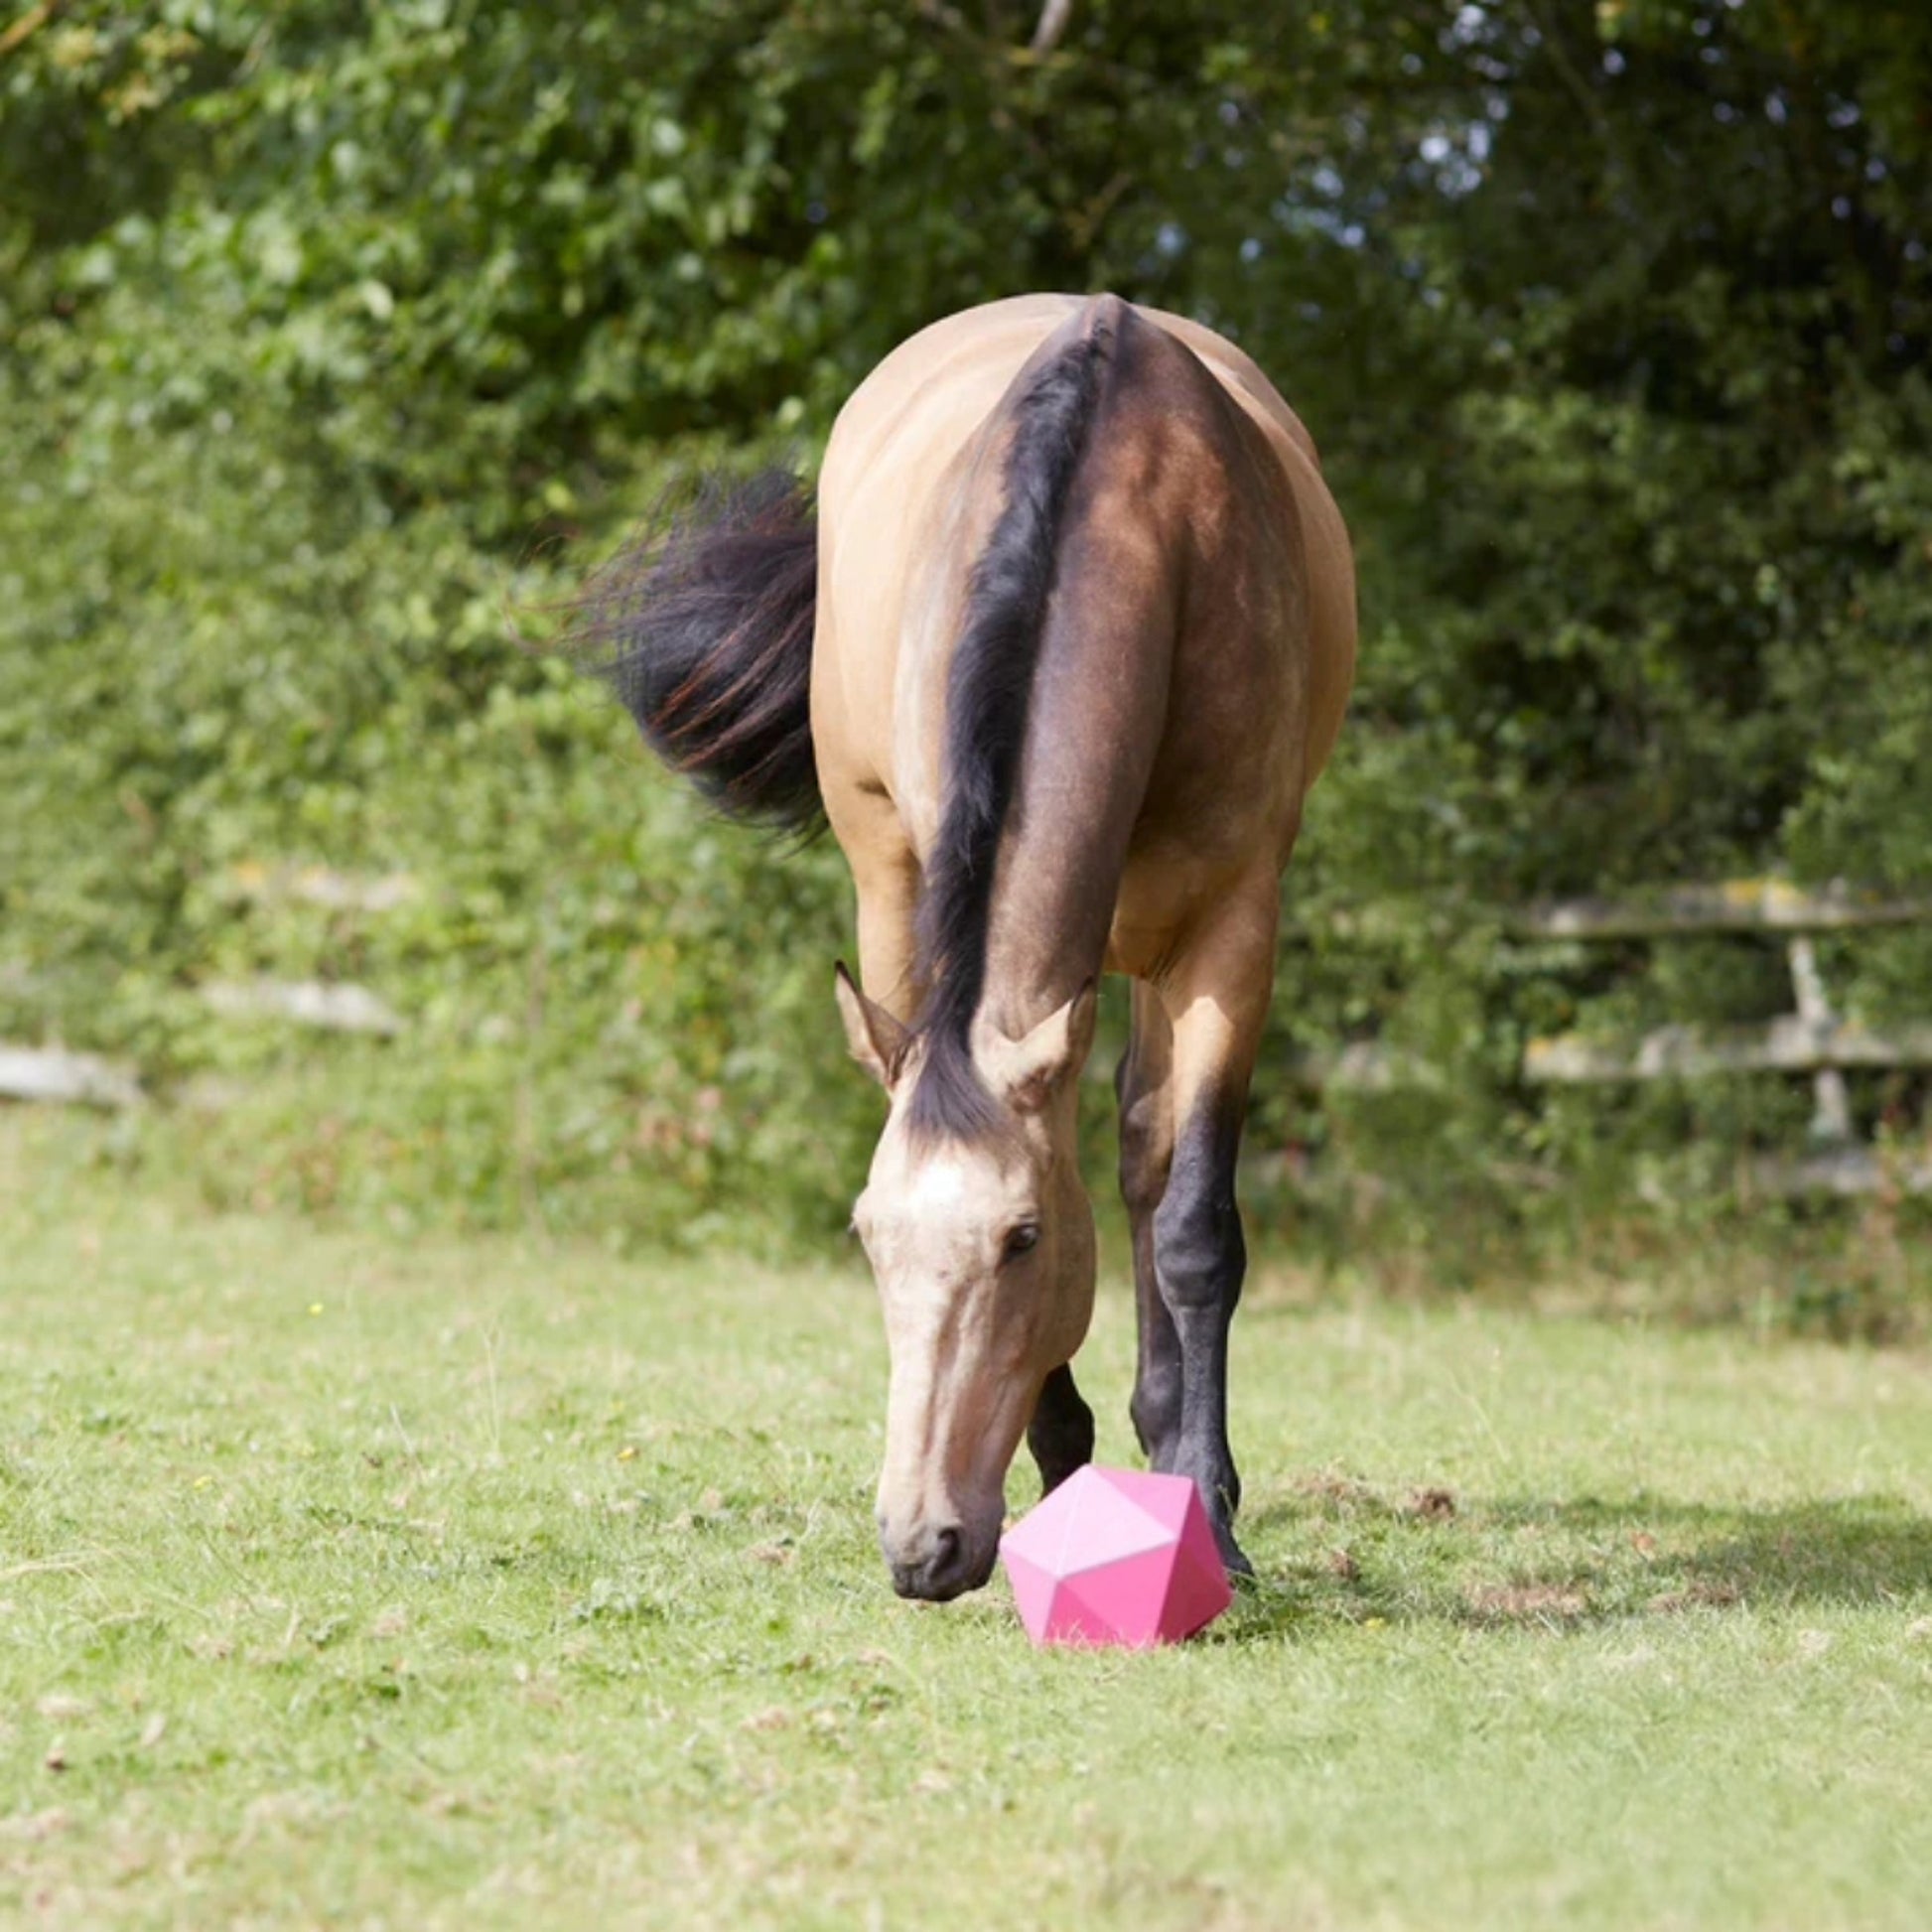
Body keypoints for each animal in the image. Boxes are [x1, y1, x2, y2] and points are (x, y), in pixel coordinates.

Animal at [578, 293, 1355, 1600]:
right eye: (866, 1235)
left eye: (1021, 1237)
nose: (919, 1543)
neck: (1142, 520)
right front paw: (1066, 1464)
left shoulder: (1231, 925)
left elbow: (1192, 1224)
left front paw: (1205, 1508)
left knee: (1144, 1149)